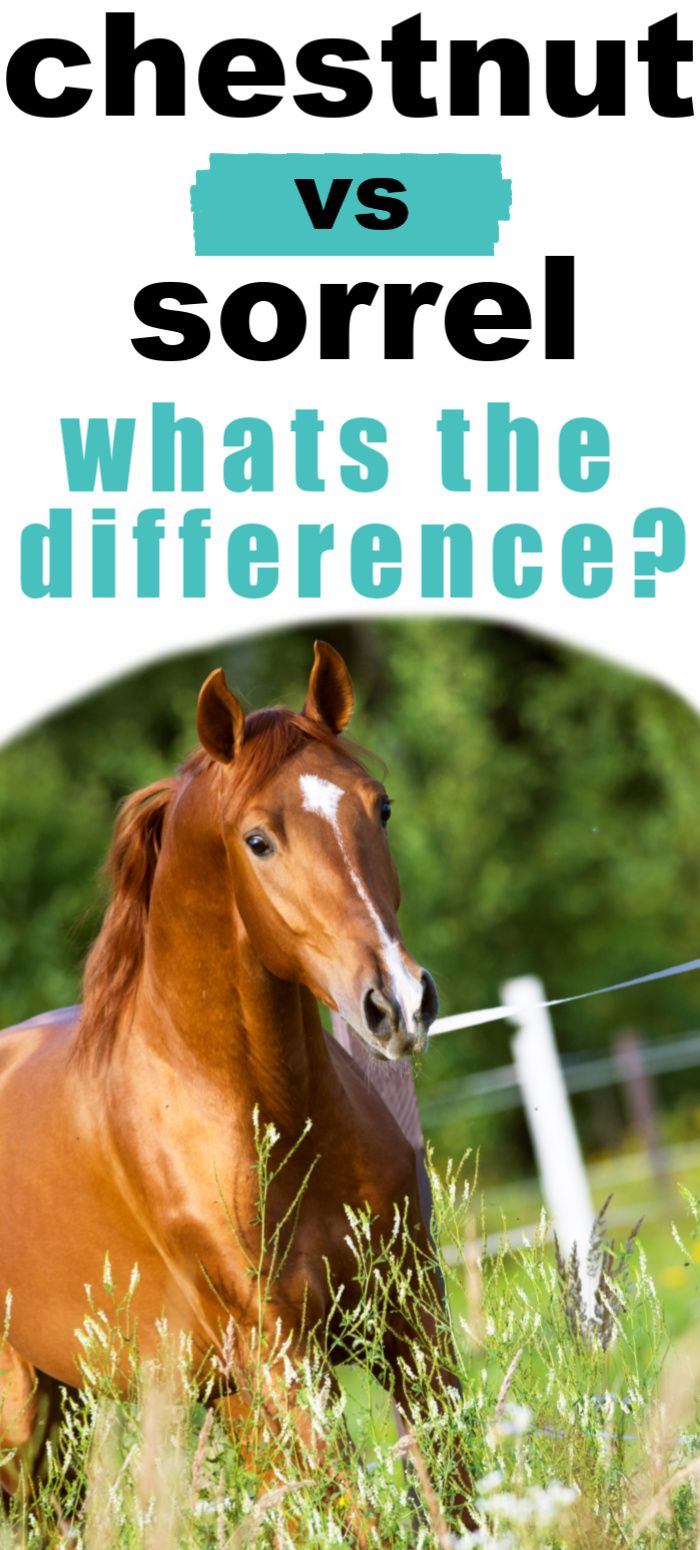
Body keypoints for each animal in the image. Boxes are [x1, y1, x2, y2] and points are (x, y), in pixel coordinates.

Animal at [0, 641, 470, 1512]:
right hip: (23, 1424)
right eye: (258, 840)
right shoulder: (286, 1363)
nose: (398, 1002)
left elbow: (461, 1495)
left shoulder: (410, 1320)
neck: (268, 1115)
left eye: (381, 807)